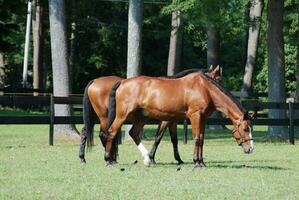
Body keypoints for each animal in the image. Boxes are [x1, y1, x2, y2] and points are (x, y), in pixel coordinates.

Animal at [79, 66, 223, 165]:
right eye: (217, 80)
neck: (182, 87)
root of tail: (94, 81)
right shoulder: (165, 121)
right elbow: (158, 138)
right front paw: (152, 158)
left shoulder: (172, 121)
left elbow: (174, 140)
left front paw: (178, 159)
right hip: (106, 118)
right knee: (105, 134)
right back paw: (110, 159)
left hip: (96, 118)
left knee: (86, 132)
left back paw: (84, 158)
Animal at [106, 70, 254, 167]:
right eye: (245, 129)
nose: (251, 149)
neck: (205, 89)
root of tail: (122, 82)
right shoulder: (195, 116)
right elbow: (197, 138)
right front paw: (196, 162)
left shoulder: (202, 119)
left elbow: (201, 139)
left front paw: (201, 161)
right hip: (122, 116)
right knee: (112, 132)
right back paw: (108, 160)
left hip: (141, 117)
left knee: (134, 133)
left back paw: (147, 159)